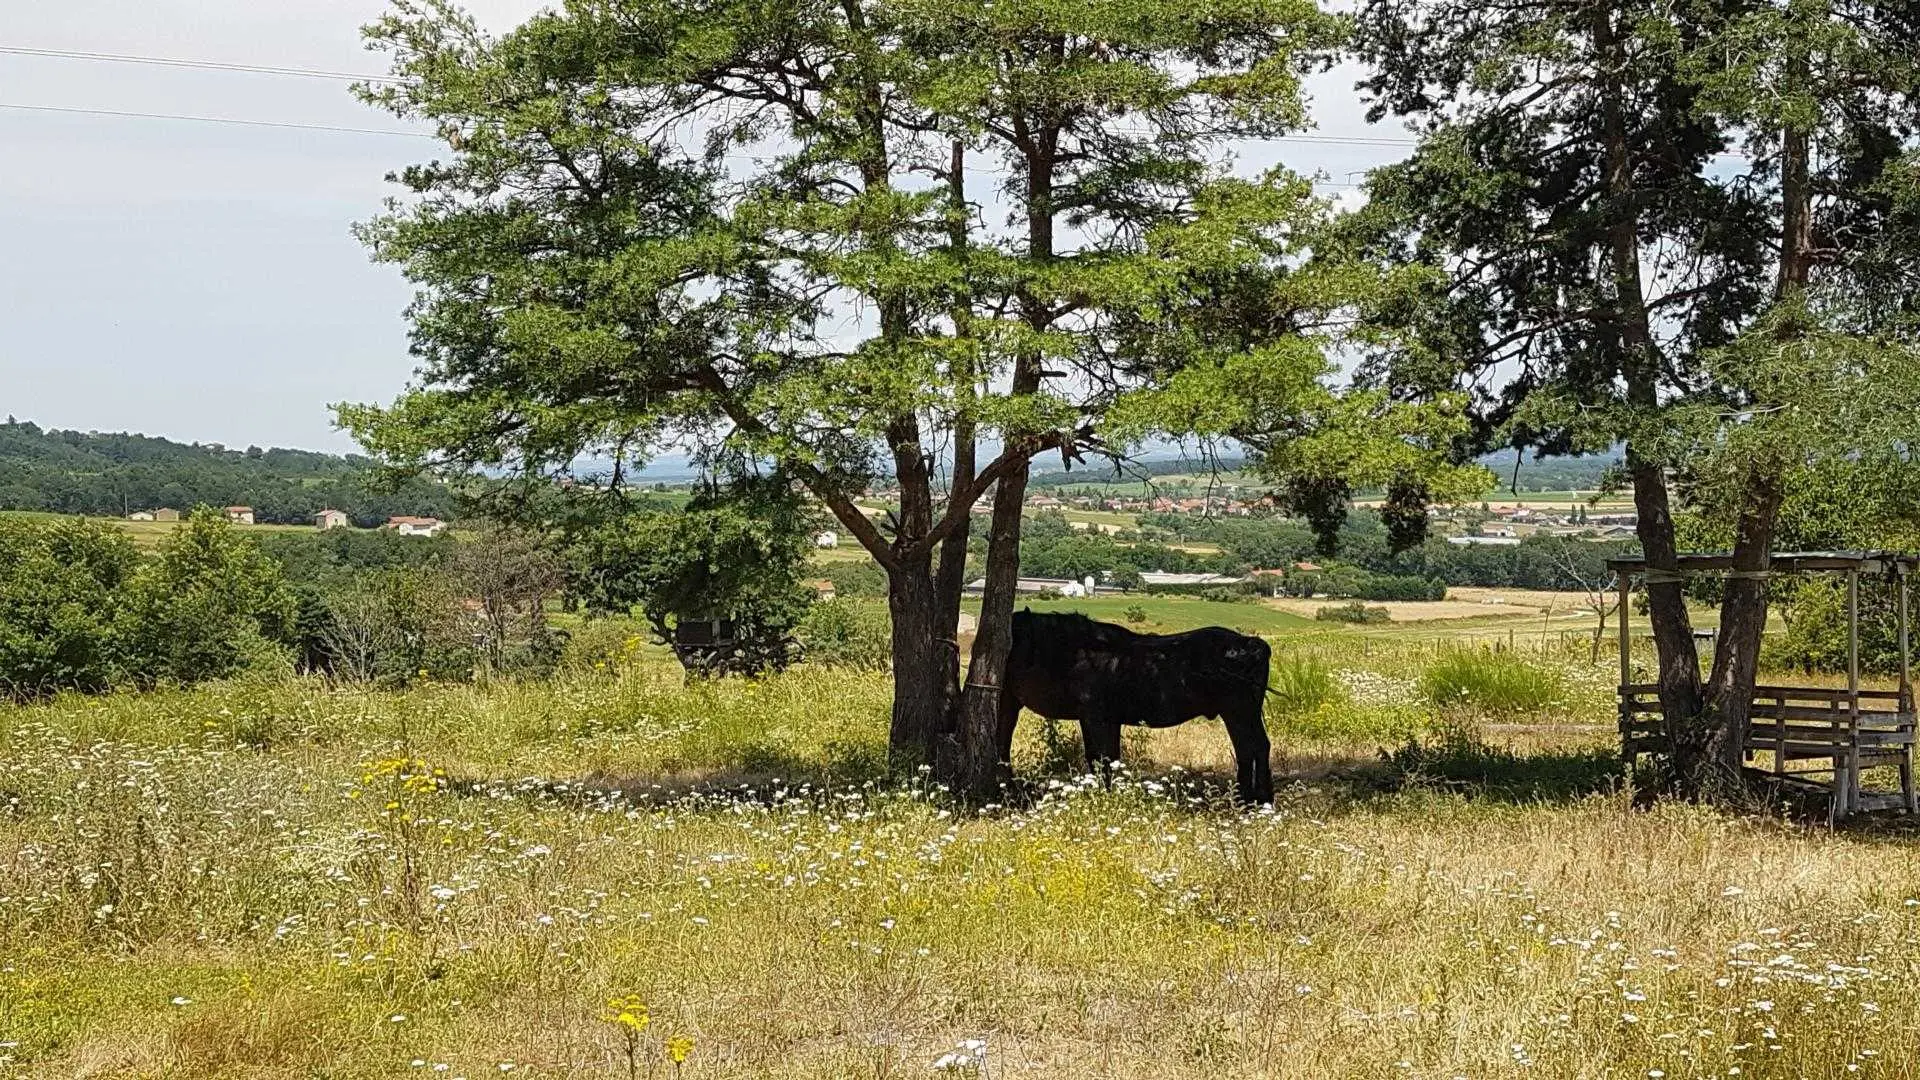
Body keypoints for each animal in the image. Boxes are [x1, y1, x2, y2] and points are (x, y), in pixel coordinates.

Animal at [997, 609, 1274, 804]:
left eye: (1012, 645)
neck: (1082, 656)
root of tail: (1250, 644)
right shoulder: (1104, 720)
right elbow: (1107, 758)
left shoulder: (1096, 719)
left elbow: (1102, 758)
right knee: (1253, 748)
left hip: (1238, 713)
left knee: (1252, 748)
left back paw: (1253, 799)